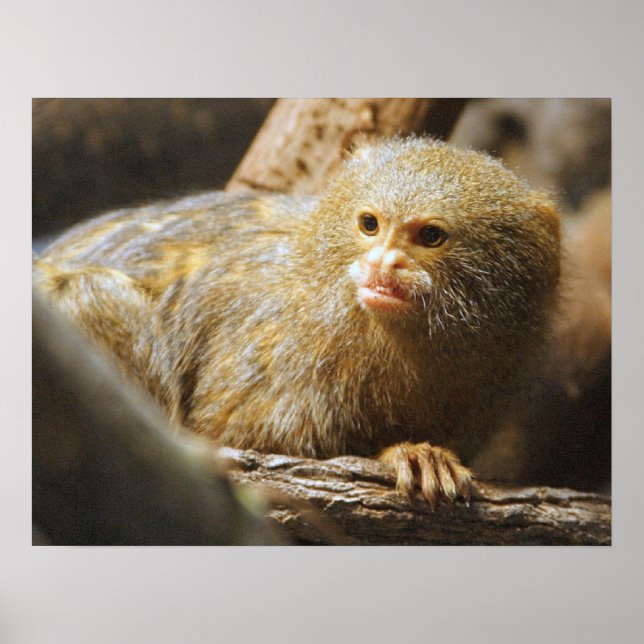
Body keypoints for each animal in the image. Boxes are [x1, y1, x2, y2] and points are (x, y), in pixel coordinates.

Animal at [33, 137, 561, 510]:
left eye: (430, 236)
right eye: (369, 224)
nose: (383, 263)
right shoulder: (272, 343)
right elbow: (236, 436)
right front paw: (407, 454)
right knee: (96, 293)